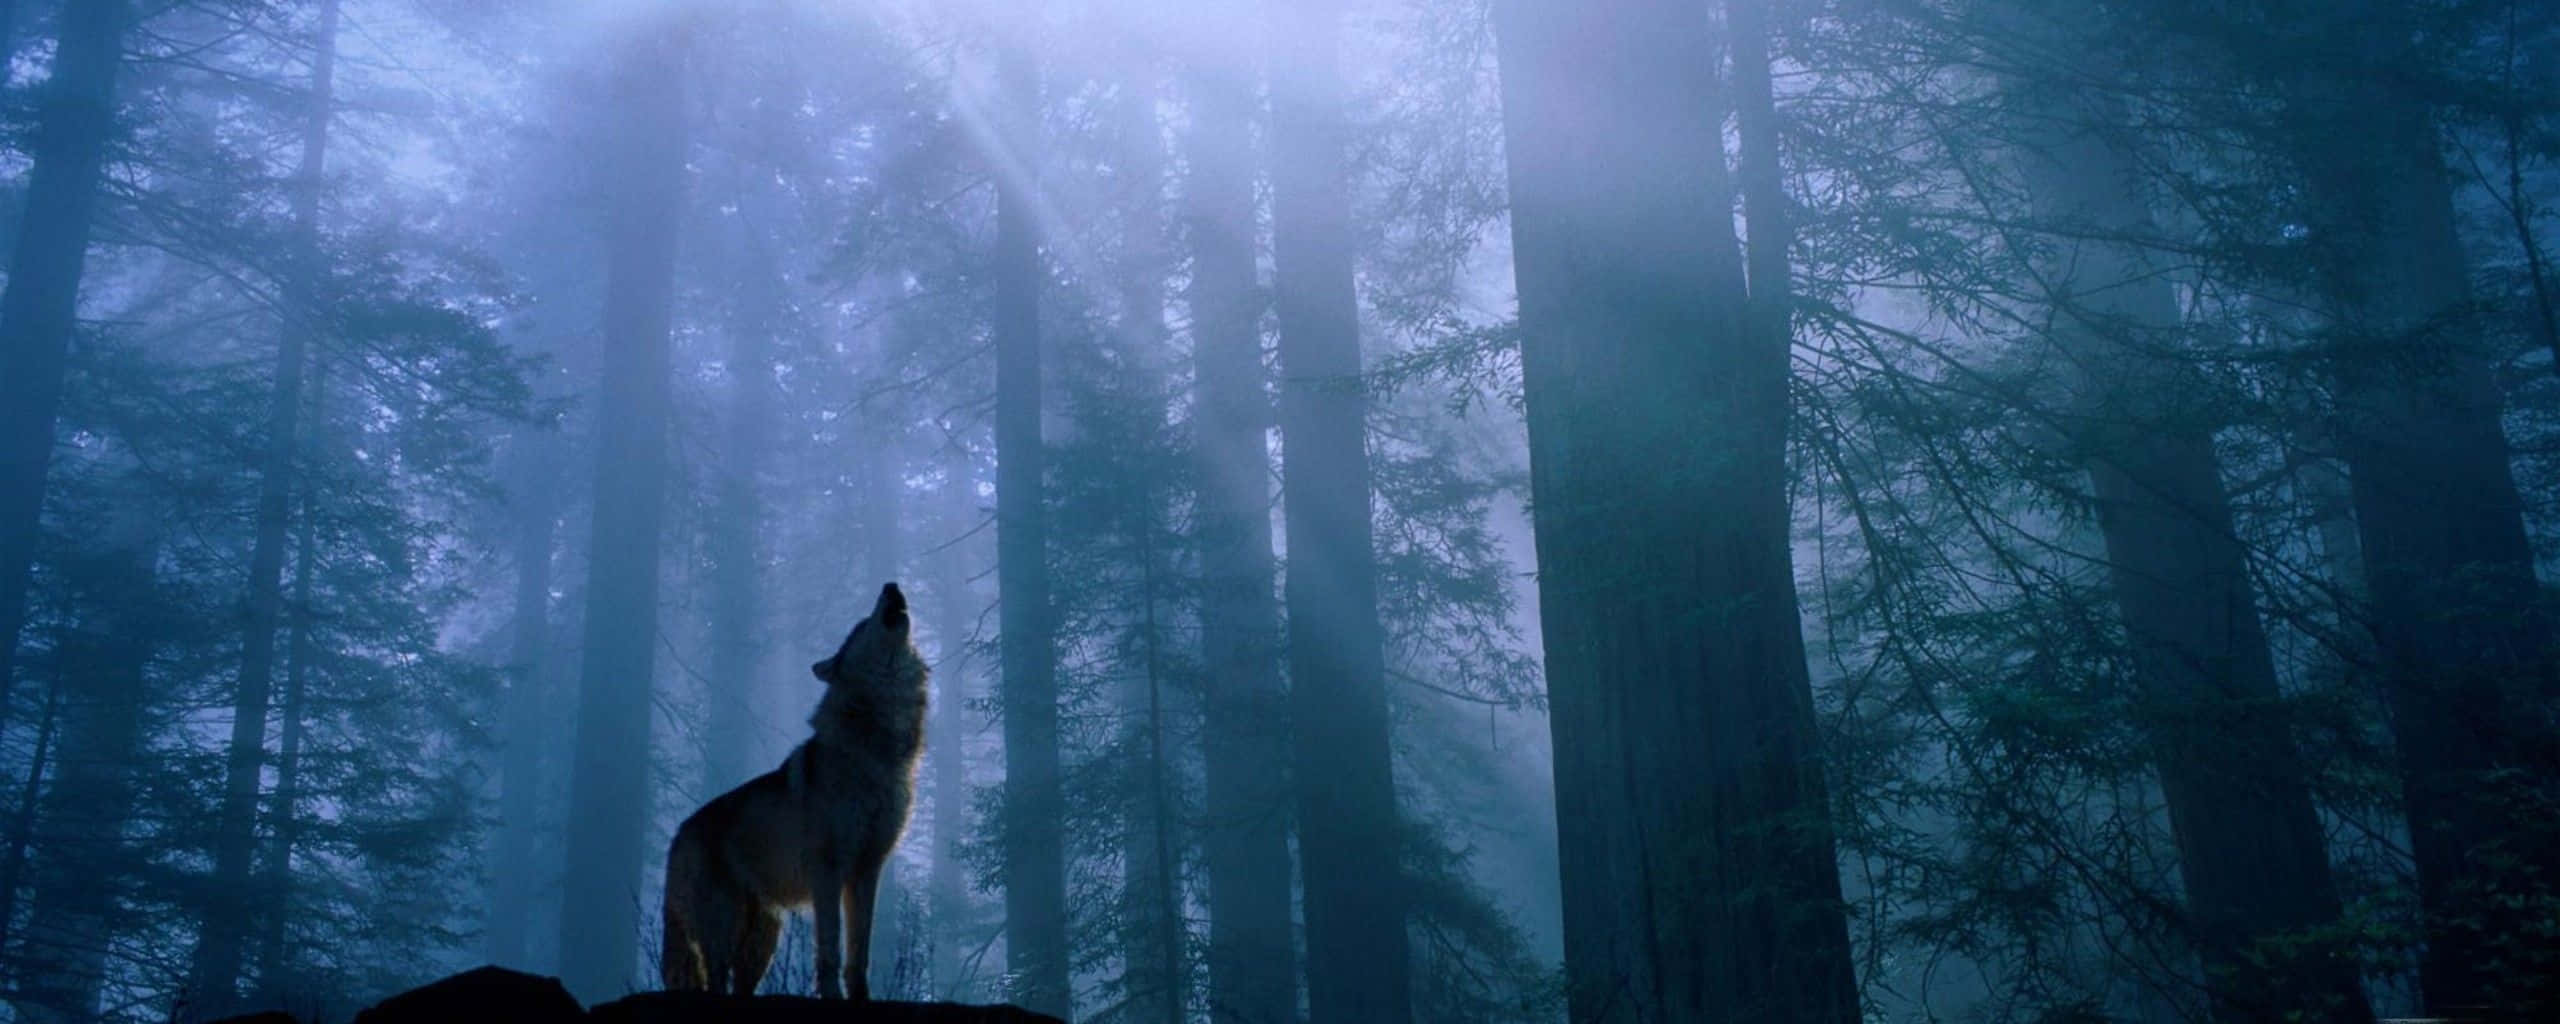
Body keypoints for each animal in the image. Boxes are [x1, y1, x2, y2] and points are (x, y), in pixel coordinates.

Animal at [660, 582, 929, 1000]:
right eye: (861, 624)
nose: (891, 585)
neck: (878, 748)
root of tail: (678, 833)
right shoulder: (828, 871)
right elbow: (830, 949)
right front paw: (832, 996)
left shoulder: (867, 870)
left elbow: (859, 953)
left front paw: (861, 998)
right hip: (722, 931)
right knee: (715, 982)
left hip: (762, 941)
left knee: (739, 987)